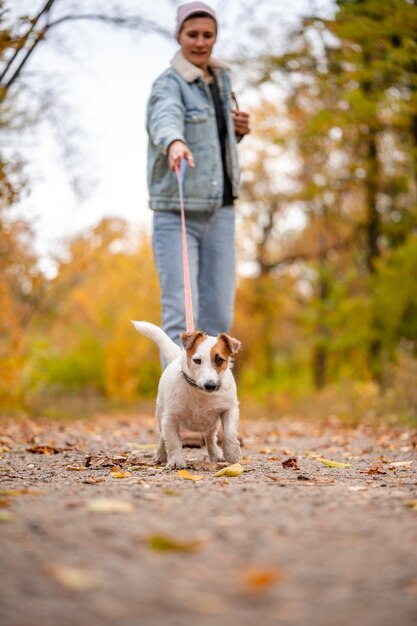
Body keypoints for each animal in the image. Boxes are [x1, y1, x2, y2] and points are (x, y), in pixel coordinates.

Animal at [130, 322, 240, 468]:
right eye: (197, 360)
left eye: (219, 360)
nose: (210, 385)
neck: (200, 392)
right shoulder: (170, 418)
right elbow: (173, 441)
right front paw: (176, 461)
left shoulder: (230, 409)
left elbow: (229, 432)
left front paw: (232, 453)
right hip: (160, 415)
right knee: (162, 437)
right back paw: (161, 453)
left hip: (211, 424)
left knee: (210, 438)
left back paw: (215, 454)